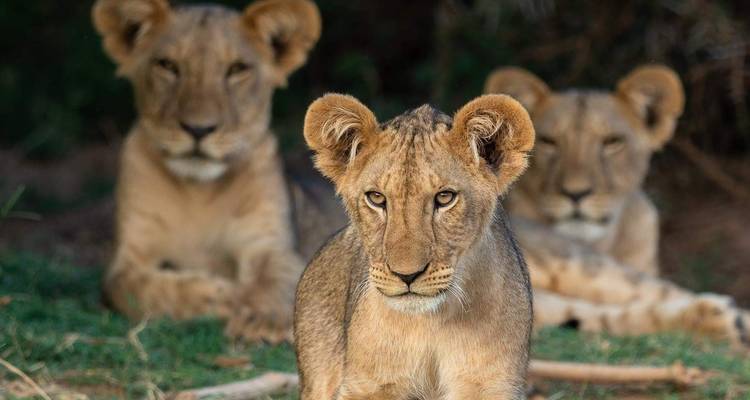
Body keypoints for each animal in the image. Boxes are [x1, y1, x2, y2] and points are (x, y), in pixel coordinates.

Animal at [92, 0, 342, 343]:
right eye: (167, 65)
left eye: (237, 69)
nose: (199, 129)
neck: (198, 192)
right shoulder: (128, 256)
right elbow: (135, 287)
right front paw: (220, 293)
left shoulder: (270, 243)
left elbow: (276, 278)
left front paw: (263, 321)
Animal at [294, 94, 534, 399]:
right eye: (376, 198)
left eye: (445, 197)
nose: (406, 275)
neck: (431, 322)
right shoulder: (369, 385)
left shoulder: (490, 384)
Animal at [485, 65, 750, 348]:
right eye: (549, 142)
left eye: (612, 142)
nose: (576, 193)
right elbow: (598, 318)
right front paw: (714, 324)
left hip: (581, 264)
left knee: (662, 291)